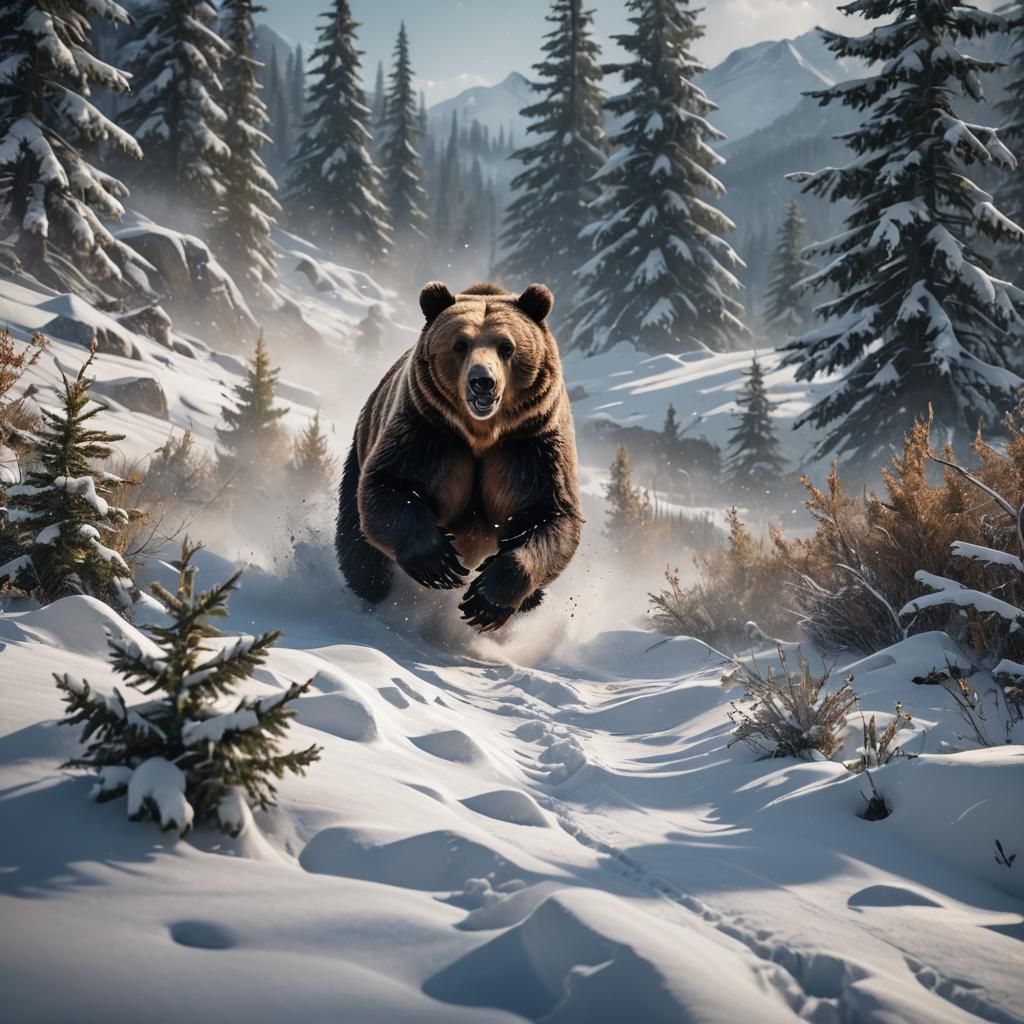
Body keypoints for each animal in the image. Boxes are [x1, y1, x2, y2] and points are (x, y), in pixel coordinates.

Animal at [336, 280, 583, 632]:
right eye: (460, 344)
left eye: (506, 346)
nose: (482, 382)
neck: (481, 434)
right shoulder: (429, 433)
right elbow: (390, 485)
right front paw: (441, 564)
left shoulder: (530, 446)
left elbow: (549, 515)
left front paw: (485, 600)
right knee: (359, 541)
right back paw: (372, 586)